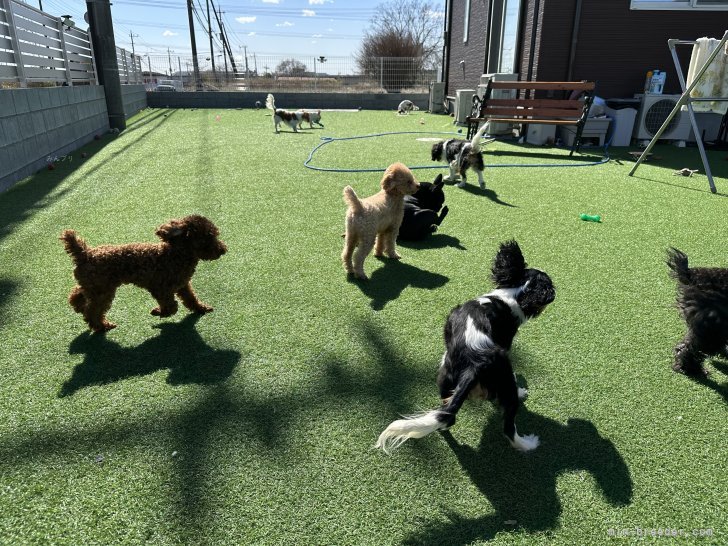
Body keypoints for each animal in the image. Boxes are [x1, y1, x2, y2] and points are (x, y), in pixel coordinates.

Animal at [376, 240, 556, 452]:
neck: (510, 295)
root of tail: (475, 363)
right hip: (503, 380)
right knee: (509, 427)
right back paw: (528, 443)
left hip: (445, 377)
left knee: (447, 416)